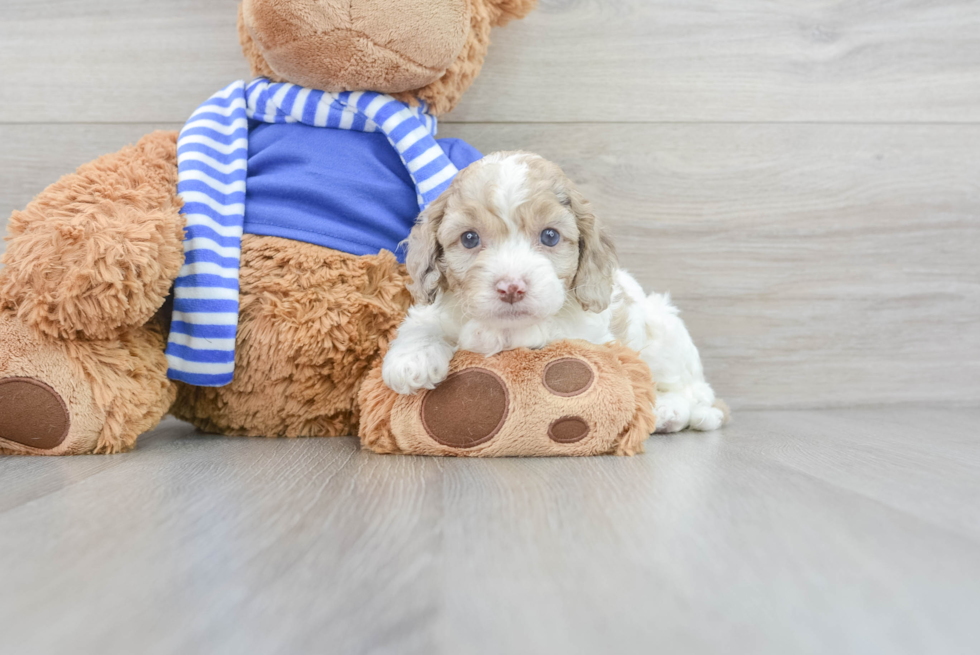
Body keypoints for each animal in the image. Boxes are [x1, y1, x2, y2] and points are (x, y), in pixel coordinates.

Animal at [382, 151, 728, 434]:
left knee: (695, 391)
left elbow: (540, 330)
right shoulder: (434, 308)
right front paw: (411, 360)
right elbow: (421, 324)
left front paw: (487, 335)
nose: (511, 288)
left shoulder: (584, 331)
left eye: (550, 236)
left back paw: (671, 412)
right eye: (469, 238)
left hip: (664, 331)